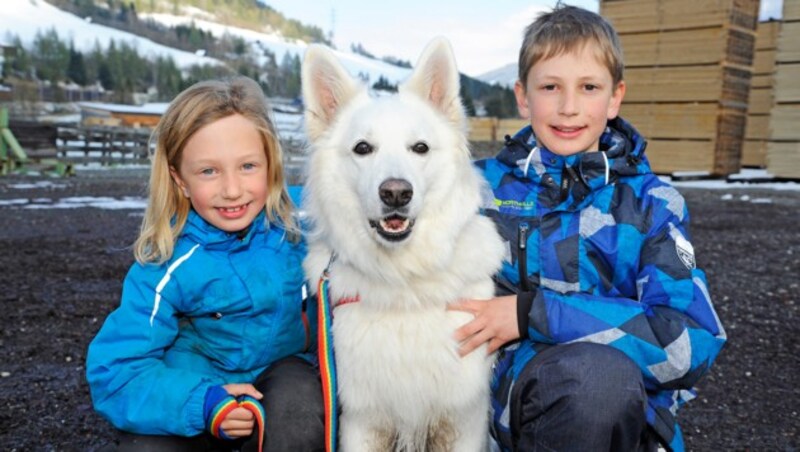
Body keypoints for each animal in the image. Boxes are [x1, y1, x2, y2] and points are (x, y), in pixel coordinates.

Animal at [302, 37, 506, 450]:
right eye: (363, 148)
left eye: (420, 148)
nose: (396, 193)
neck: (405, 282)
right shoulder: (362, 421)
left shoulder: (463, 419)